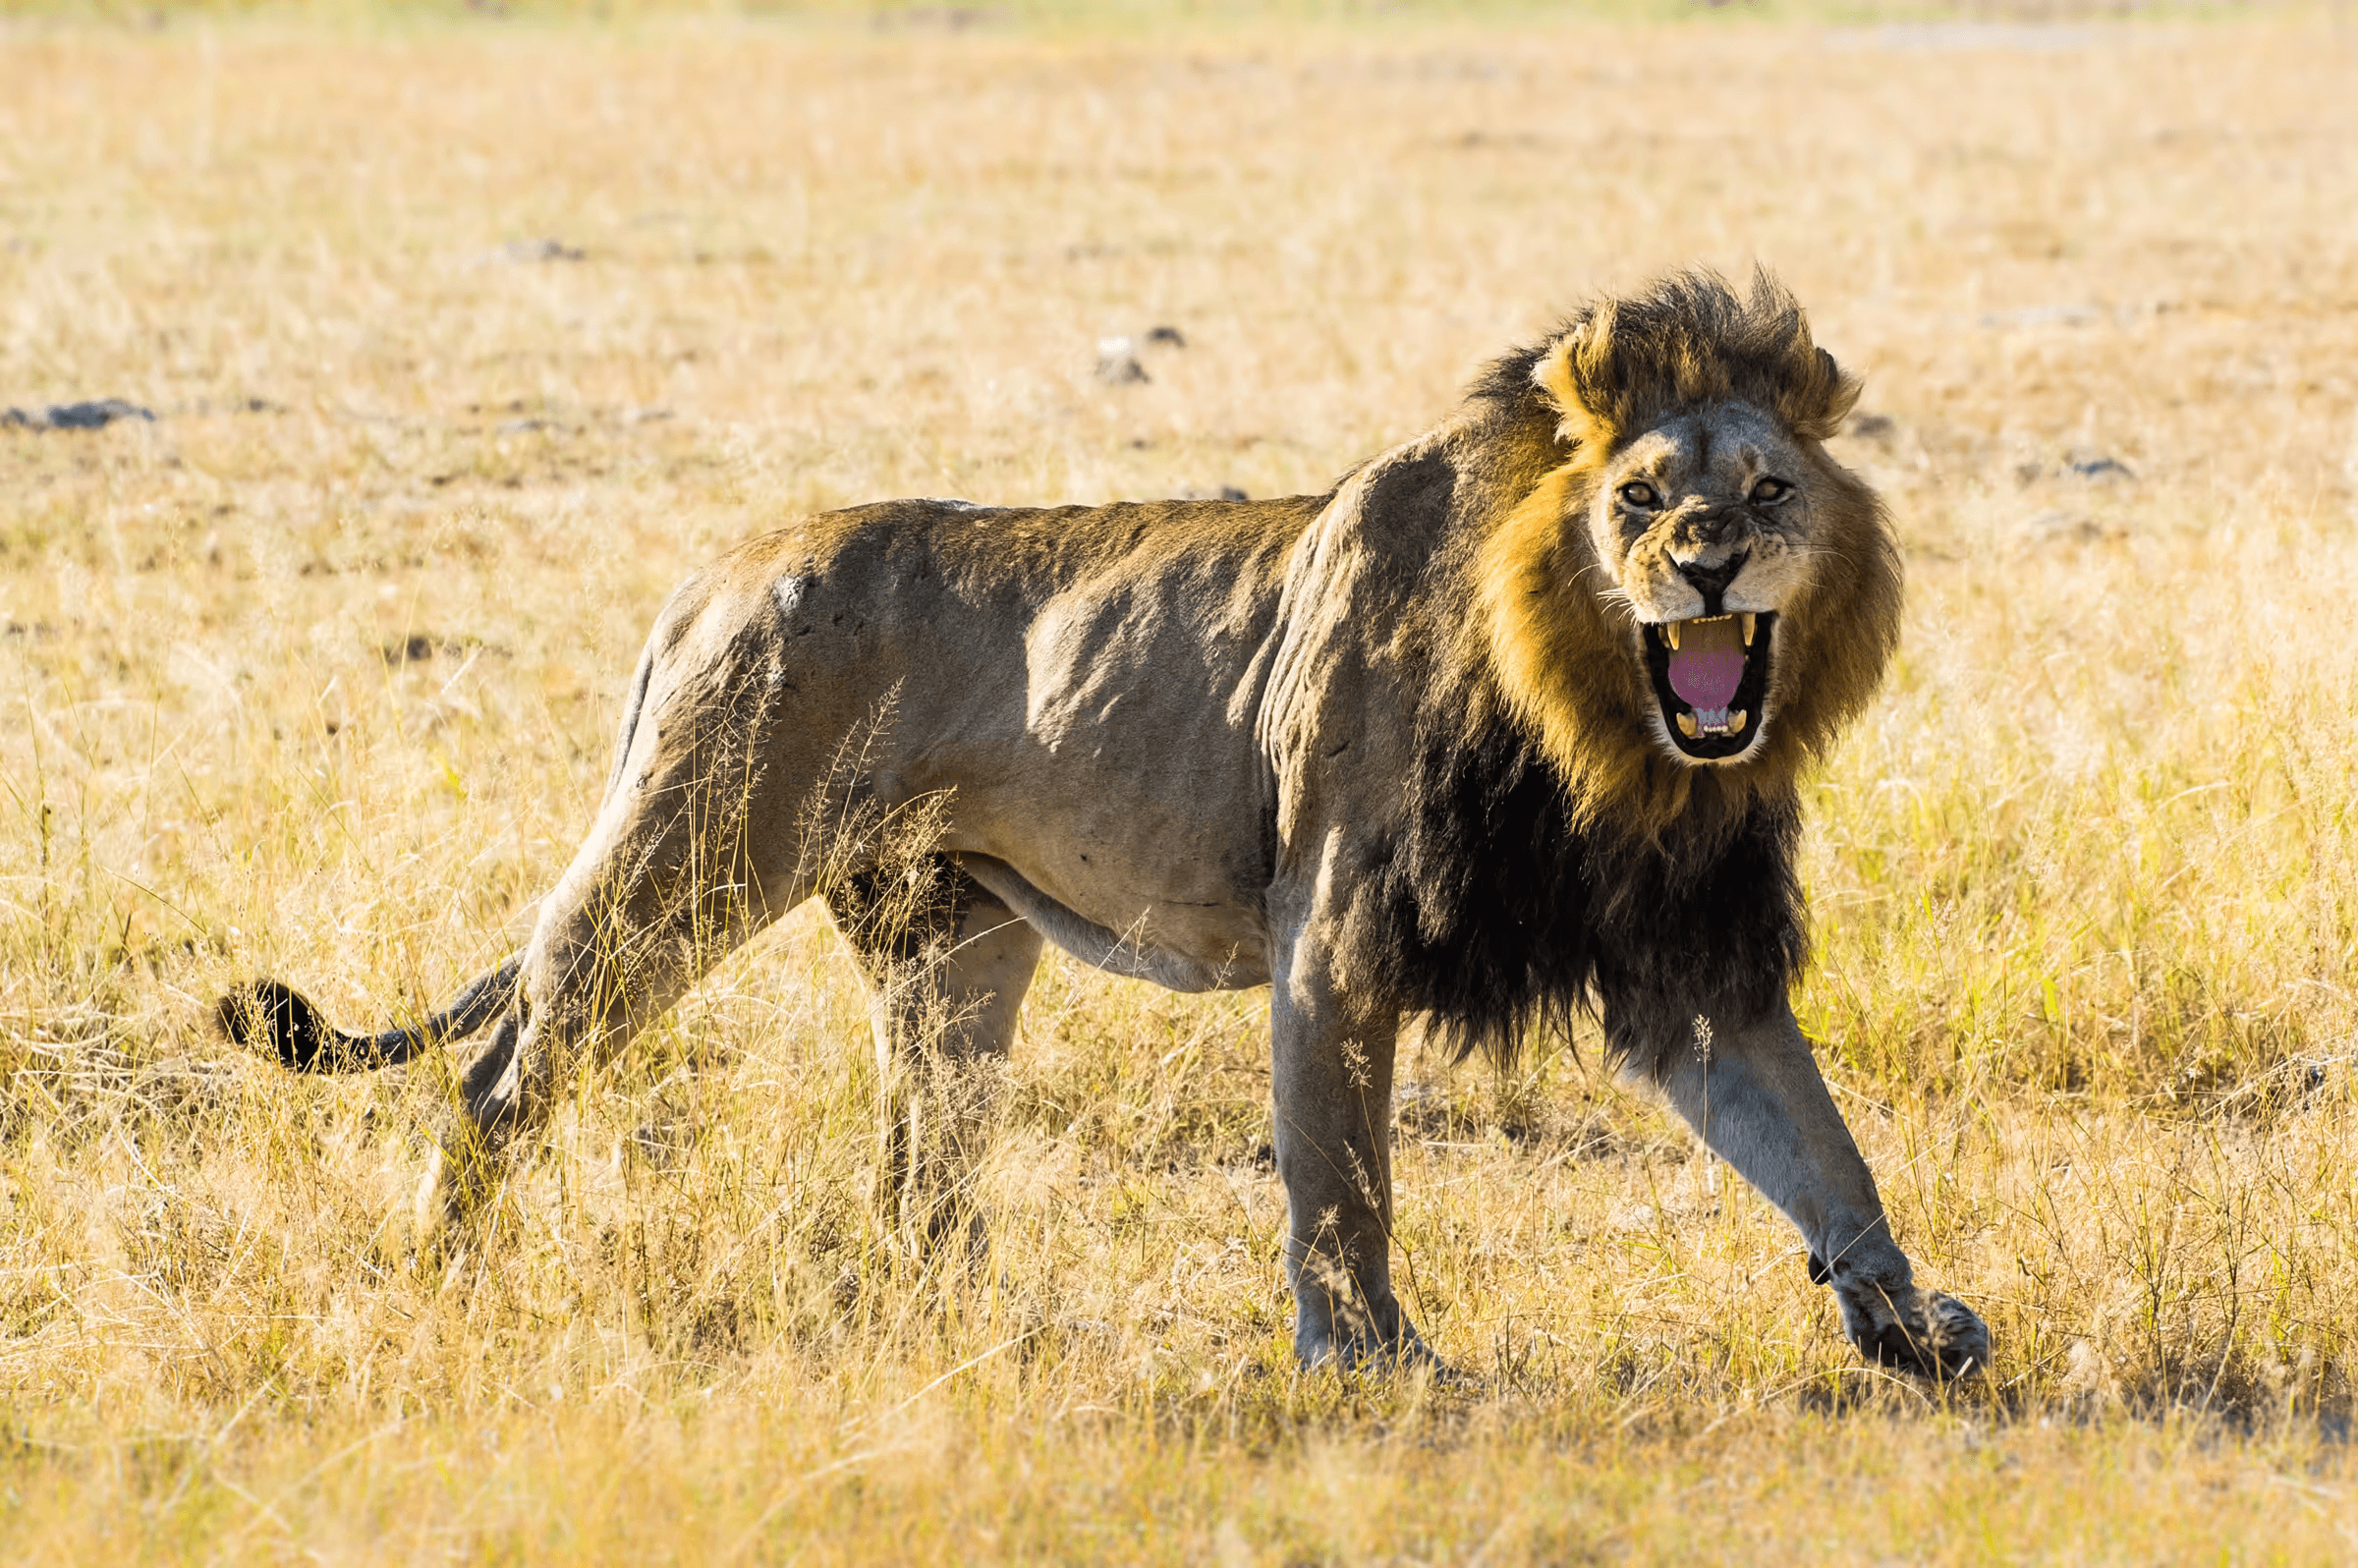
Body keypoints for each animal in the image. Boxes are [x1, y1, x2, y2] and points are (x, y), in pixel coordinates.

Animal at [218, 268, 1988, 1378]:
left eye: (1767, 491)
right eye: (1636, 500)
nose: (1704, 565)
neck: (1610, 737)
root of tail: (714, 570)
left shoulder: (1686, 957)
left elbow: (1820, 1147)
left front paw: (1909, 1328)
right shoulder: (1331, 932)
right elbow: (1345, 1178)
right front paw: (1372, 1363)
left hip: (952, 947)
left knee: (917, 1183)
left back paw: (964, 1336)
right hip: (679, 869)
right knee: (503, 1073)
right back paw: (444, 1272)